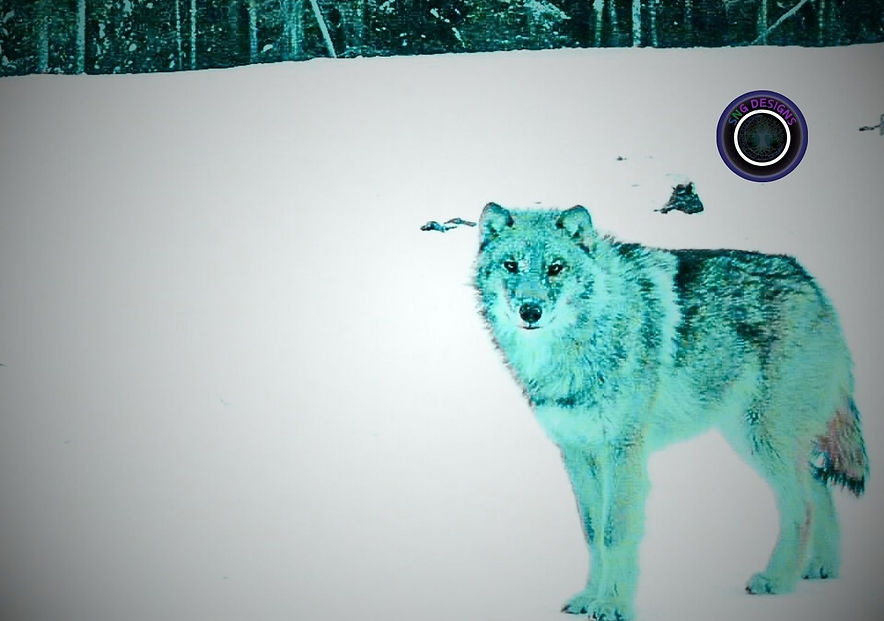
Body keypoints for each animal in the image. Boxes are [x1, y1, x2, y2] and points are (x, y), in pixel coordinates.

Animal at [474, 203, 868, 620]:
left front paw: (612, 604)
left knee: (802, 504)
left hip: (762, 438)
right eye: (511, 265)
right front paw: (589, 598)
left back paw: (778, 579)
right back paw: (821, 567)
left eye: (555, 268)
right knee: (818, 485)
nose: (530, 311)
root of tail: (809, 281)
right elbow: (592, 532)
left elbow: (614, 532)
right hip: (753, 438)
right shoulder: (578, 453)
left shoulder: (623, 450)